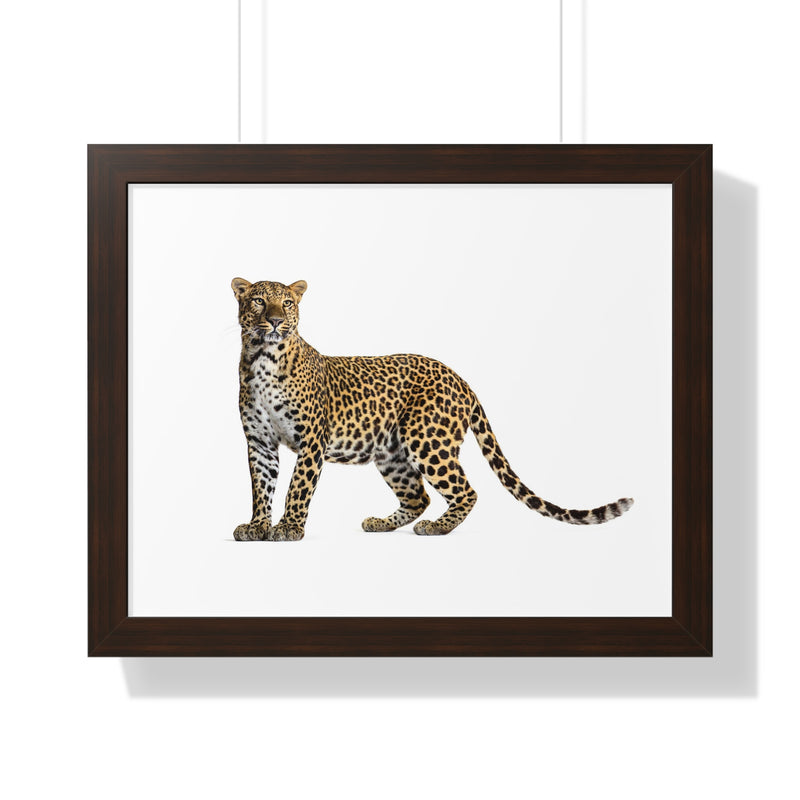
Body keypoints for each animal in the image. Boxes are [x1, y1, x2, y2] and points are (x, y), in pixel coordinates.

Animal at [231, 277, 633, 541]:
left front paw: (289, 528)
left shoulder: (312, 439)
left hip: (427, 440)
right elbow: (261, 486)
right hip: (393, 453)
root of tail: (460, 378)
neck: (262, 359)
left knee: (466, 491)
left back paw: (437, 528)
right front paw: (257, 526)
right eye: (258, 301)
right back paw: (381, 523)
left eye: (287, 303)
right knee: (418, 495)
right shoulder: (260, 442)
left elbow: (297, 486)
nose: (275, 321)